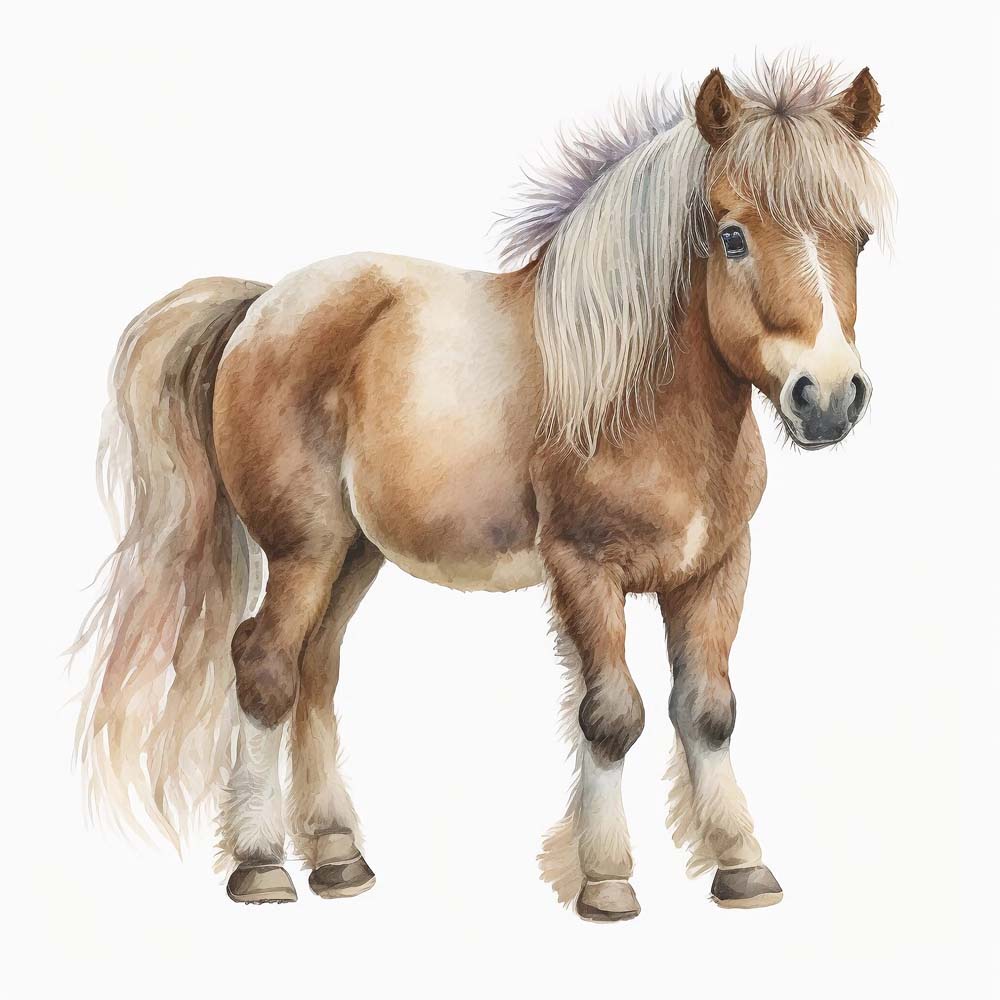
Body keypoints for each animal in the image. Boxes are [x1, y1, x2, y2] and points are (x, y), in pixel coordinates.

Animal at [75, 55, 894, 919]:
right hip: (304, 549)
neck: (635, 395)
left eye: (860, 237)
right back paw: (262, 864)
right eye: (733, 236)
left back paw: (338, 857)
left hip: (353, 556)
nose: (829, 396)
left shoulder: (716, 569)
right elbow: (612, 715)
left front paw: (741, 865)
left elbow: (708, 712)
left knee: (315, 671)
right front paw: (606, 879)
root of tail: (260, 305)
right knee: (264, 665)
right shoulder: (583, 569)